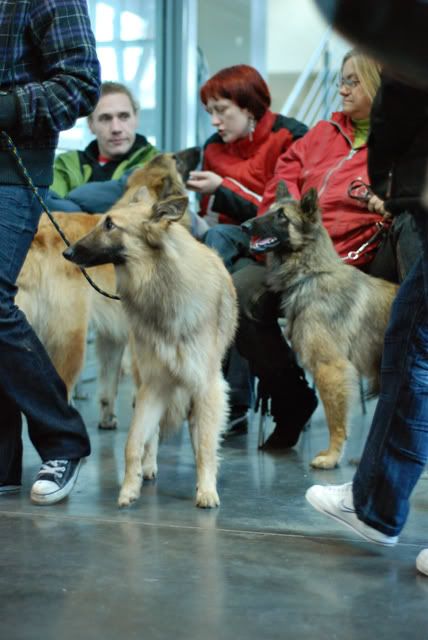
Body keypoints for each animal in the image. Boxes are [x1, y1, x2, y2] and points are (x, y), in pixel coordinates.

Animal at [16, 148, 200, 430]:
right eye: (177, 159)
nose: (200, 149)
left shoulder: (112, 337)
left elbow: (109, 384)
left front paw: (107, 418)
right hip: (70, 338)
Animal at [63, 191, 238, 508]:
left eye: (110, 225)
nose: (67, 253)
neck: (161, 285)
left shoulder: (206, 386)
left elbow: (205, 444)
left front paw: (206, 489)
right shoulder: (155, 384)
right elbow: (134, 441)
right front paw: (129, 487)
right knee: (152, 435)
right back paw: (148, 467)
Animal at [244, 182, 398, 469]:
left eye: (281, 216)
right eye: (269, 211)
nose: (245, 225)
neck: (310, 273)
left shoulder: (330, 368)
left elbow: (335, 421)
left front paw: (331, 456)